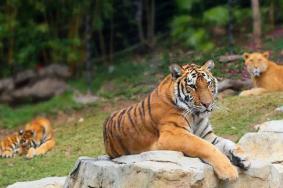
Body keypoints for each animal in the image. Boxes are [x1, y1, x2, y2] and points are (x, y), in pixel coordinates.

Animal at [103, 60, 251, 181]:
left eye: (208, 83)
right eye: (193, 86)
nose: (207, 104)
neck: (196, 115)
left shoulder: (207, 135)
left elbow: (227, 143)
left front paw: (243, 157)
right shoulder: (173, 134)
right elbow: (206, 147)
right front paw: (229, 171)